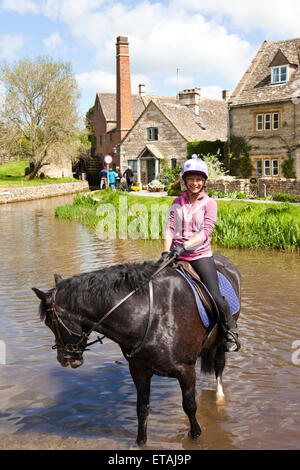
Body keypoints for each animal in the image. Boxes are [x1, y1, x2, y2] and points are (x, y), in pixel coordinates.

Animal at [32, 253, 241, 444]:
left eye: (49, 322)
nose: (63, 358)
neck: (149, 315)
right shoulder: (139, 371)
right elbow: (142, 409)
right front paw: (141, 442)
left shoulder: (186, 370)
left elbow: (190, 407)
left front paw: (196, 436)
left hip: (220, 341)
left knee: (219, 365)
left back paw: (220, 398)